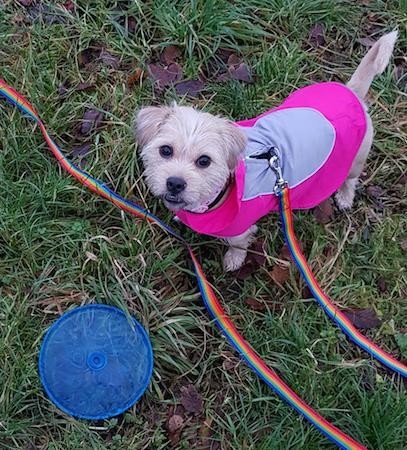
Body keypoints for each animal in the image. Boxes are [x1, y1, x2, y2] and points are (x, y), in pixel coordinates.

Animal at [134, 32, 398, 270]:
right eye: (165, 150)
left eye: (204, 161)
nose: (175, 183)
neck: (219, 194)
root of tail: (352, 93)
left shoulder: (240, 229)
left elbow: (238, 245)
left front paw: (234, 260)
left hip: (355, 160)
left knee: (350, 179)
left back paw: (344, 196)